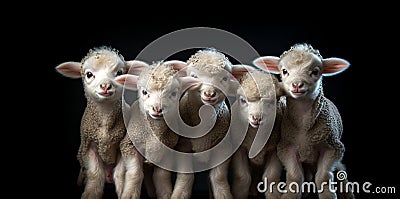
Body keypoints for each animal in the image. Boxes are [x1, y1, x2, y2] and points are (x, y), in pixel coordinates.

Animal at [54, 46, 145, 197]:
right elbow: (95, 173)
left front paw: (122, 191)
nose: (105, 86)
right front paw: (91, 193)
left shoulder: (121, 144)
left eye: (119, 73)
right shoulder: (88, 145)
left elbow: (120, 173)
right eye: (89, 74)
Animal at [114, 60, 200, 199]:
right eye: (144, 92)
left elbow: (161, 176)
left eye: (174, 93)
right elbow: (135, 173)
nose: (157, 109)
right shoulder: (129, 145)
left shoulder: (168, 150)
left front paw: (165, 194)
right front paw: (130, 194)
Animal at [253, 43, 354, 199]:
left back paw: (347, 193)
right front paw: (290, 195)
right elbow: (295, 176)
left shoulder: (332, 148)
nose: (297, 85)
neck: (304, 127)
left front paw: (328, 196)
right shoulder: (286, 147)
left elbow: (323, 177)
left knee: (340, 170)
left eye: (315, 71)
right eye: (284, 71)